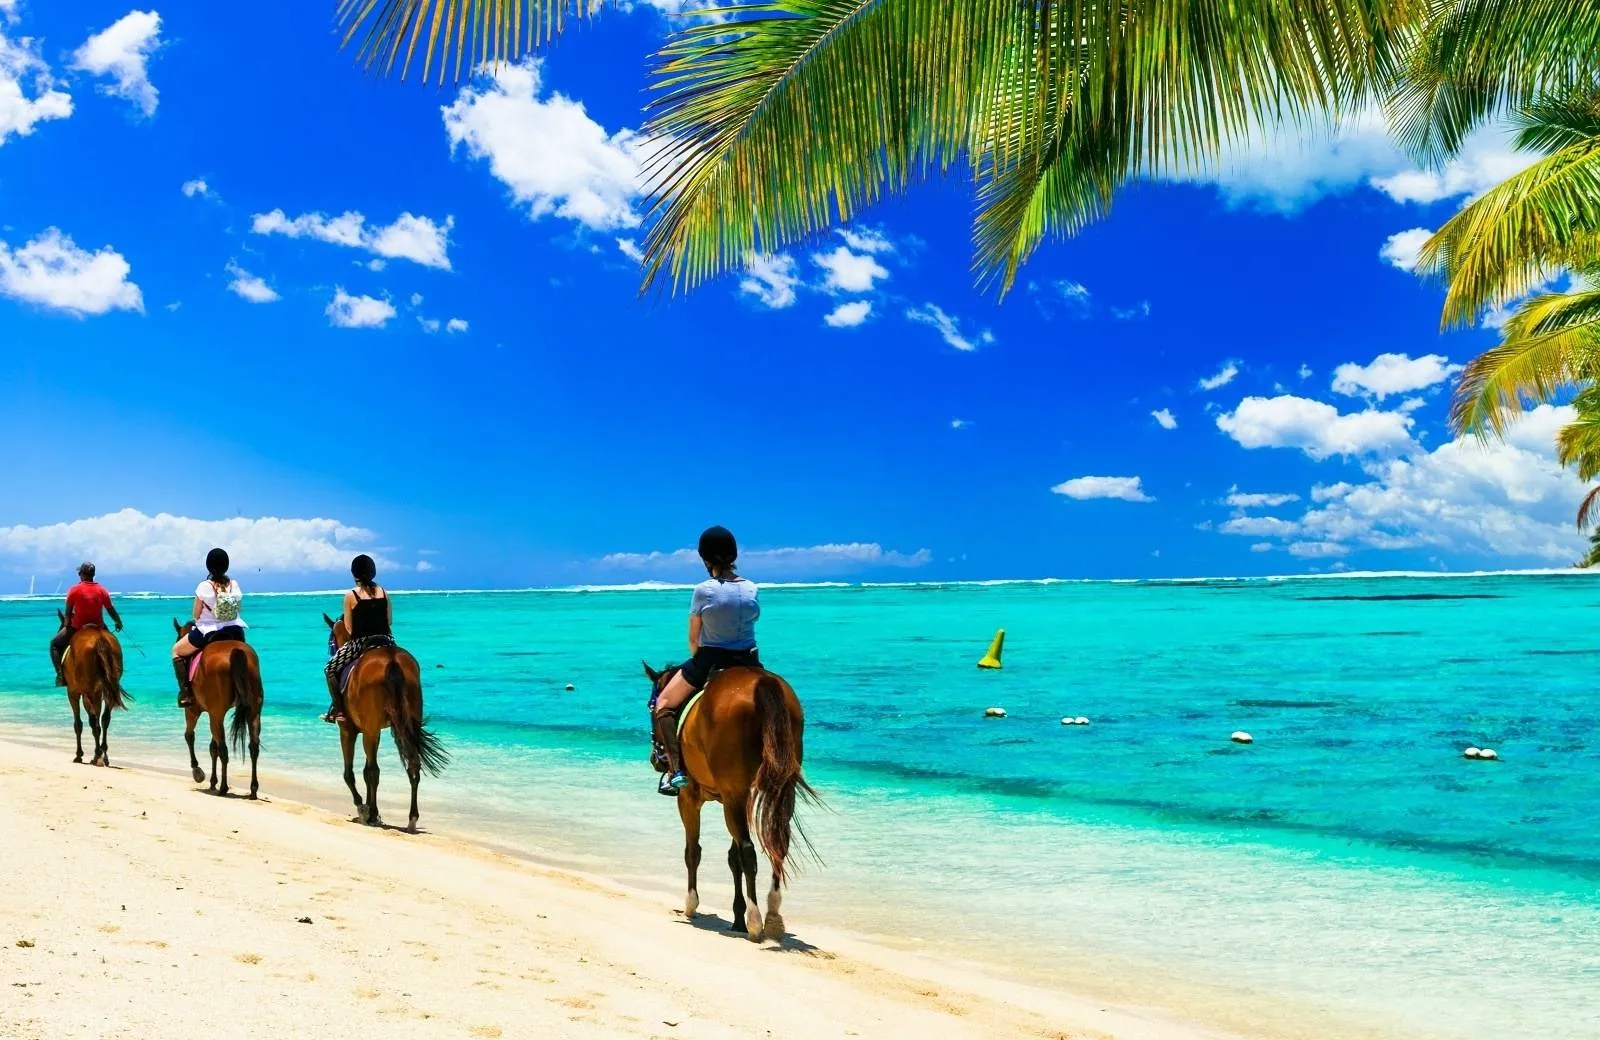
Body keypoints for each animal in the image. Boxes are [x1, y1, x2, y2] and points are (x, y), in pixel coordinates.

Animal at [57, 609, 129, 766]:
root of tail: (99, 639)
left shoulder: (74, 692)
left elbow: (79, 723)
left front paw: (79, 755)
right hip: (108, 689)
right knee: (105, 719)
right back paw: (104, 755)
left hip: (90, 692)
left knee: (95, 723)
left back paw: (97, 756)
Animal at [171, 619, 263, 798]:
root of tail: (236, 651)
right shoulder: (212, 714)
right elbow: (212, 746)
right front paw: (212, 781)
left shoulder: (193, 711)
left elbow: (189, 736)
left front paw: (198, 771)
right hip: (253, 711)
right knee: (253, 747)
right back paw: (253, 789)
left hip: (216, 714)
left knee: (223, 750)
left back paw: (223, 788)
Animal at [322, 613, 447, 832]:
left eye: (331, 639)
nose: (331, 650)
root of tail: (392, 660)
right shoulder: (374, 731)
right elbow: (365, 772)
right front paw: (372, 808)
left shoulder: (348, 731)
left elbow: (351, 773)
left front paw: (363, 807)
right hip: (403, 724)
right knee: (412, 765)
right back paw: (412, 819)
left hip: (368, 730)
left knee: (373, 770)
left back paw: (370, 814)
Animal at [643, 663, 817, 941]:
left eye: (652, 708)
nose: (655, 759)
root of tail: (762, 683)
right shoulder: (734, 799)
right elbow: (732, 858)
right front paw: (737, 918)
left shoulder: (690, 799)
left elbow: (693, 851)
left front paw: (691, 905)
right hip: (775, 791)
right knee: (777, 843)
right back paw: (772, 915)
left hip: (731, 795)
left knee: (748, 851)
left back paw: (756, 921)